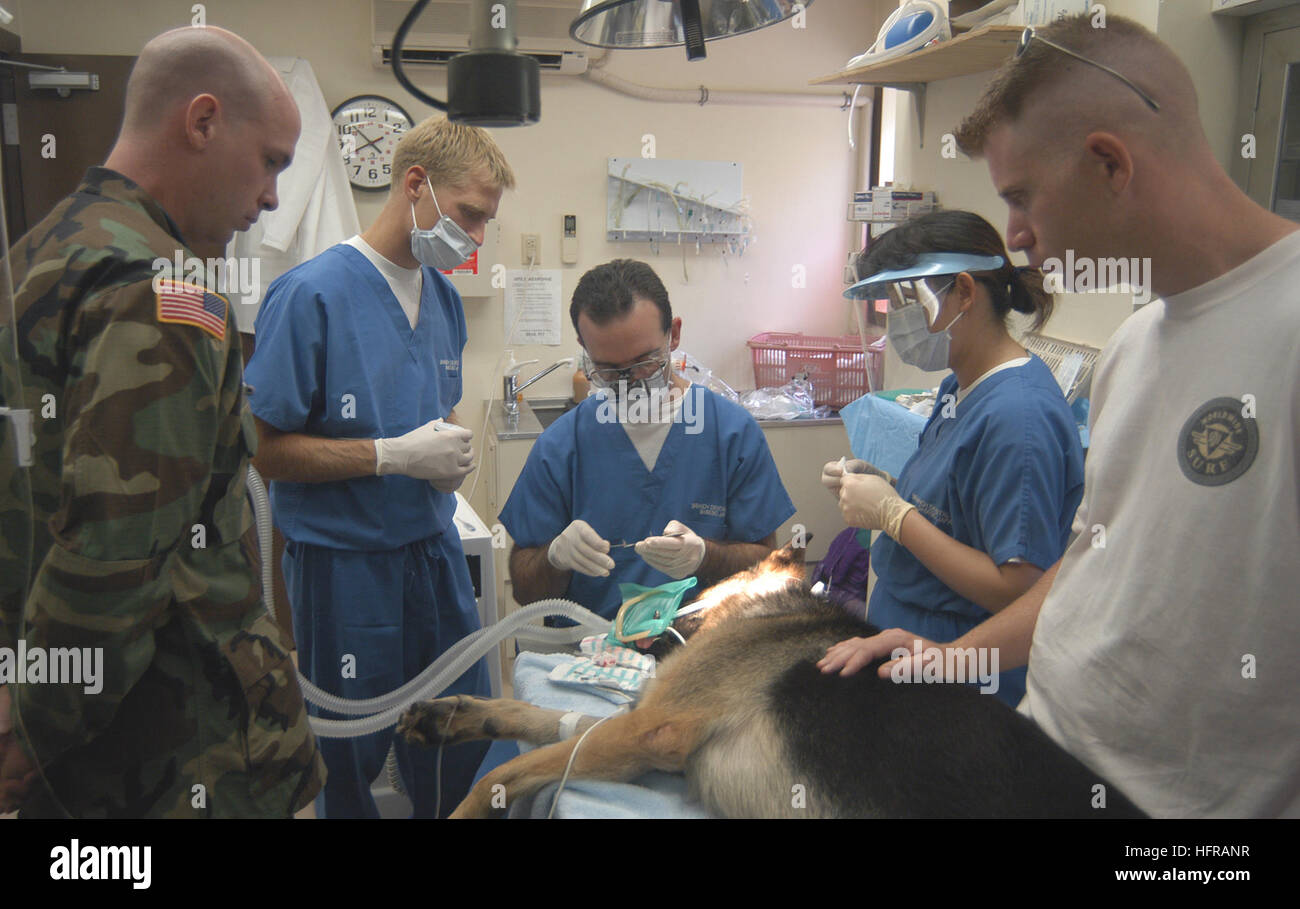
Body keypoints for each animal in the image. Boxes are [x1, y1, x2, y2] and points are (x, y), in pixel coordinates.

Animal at [397, 540, 1149, 816]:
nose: (620, 621)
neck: (777, 605)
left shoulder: (653, 730)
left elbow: (502, 773)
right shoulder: (642, 736)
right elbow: (539, 723)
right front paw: (453, 712)